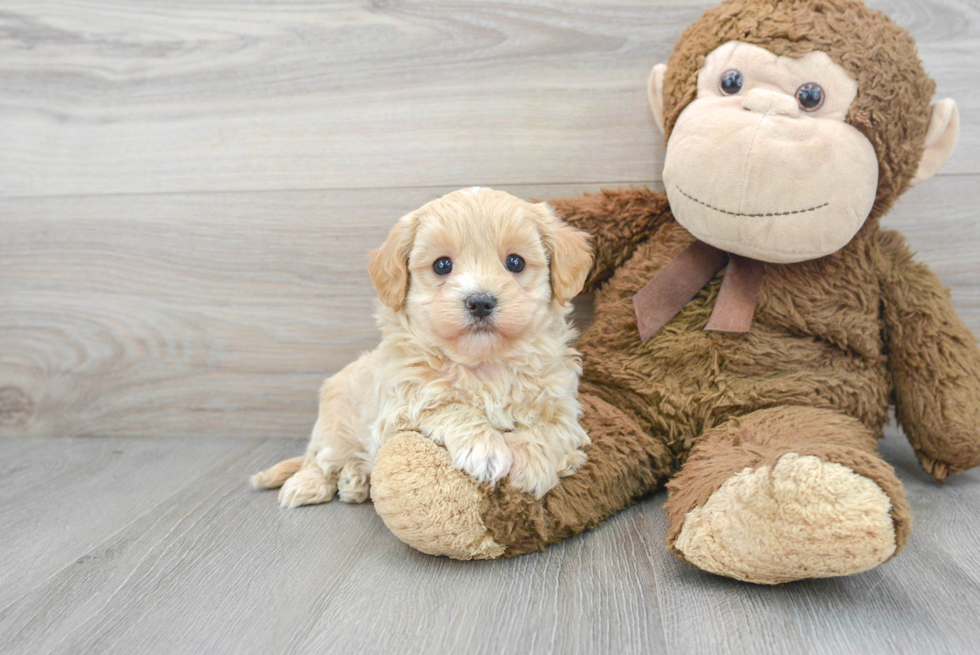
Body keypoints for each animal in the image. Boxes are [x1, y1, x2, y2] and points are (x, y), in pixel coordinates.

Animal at [249, 187, 592, 504]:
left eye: (515, 262)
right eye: (442, 266)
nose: (480, 302)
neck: (484, 365)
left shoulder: (563, 406)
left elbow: (550, 429)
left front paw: (532, 464)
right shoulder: (399, 409)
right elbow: (449, 407)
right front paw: (484, 449)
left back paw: (354, 481)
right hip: (334, 428)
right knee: (319, 459)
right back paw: (309, 484)